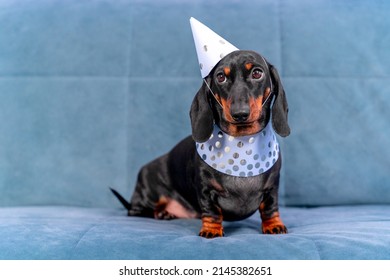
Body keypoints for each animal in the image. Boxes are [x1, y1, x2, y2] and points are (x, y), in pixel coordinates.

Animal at [110, 50, 290, 238]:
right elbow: (211, 211)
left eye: (257, 73)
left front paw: (274, 225)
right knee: (136, 211)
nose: (239, 114)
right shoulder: (205, 190)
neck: (241, 147)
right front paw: (211, 229)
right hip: (149, 194)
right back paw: (161, 213)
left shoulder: (272, 188)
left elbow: (270, 208)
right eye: (220, 77)